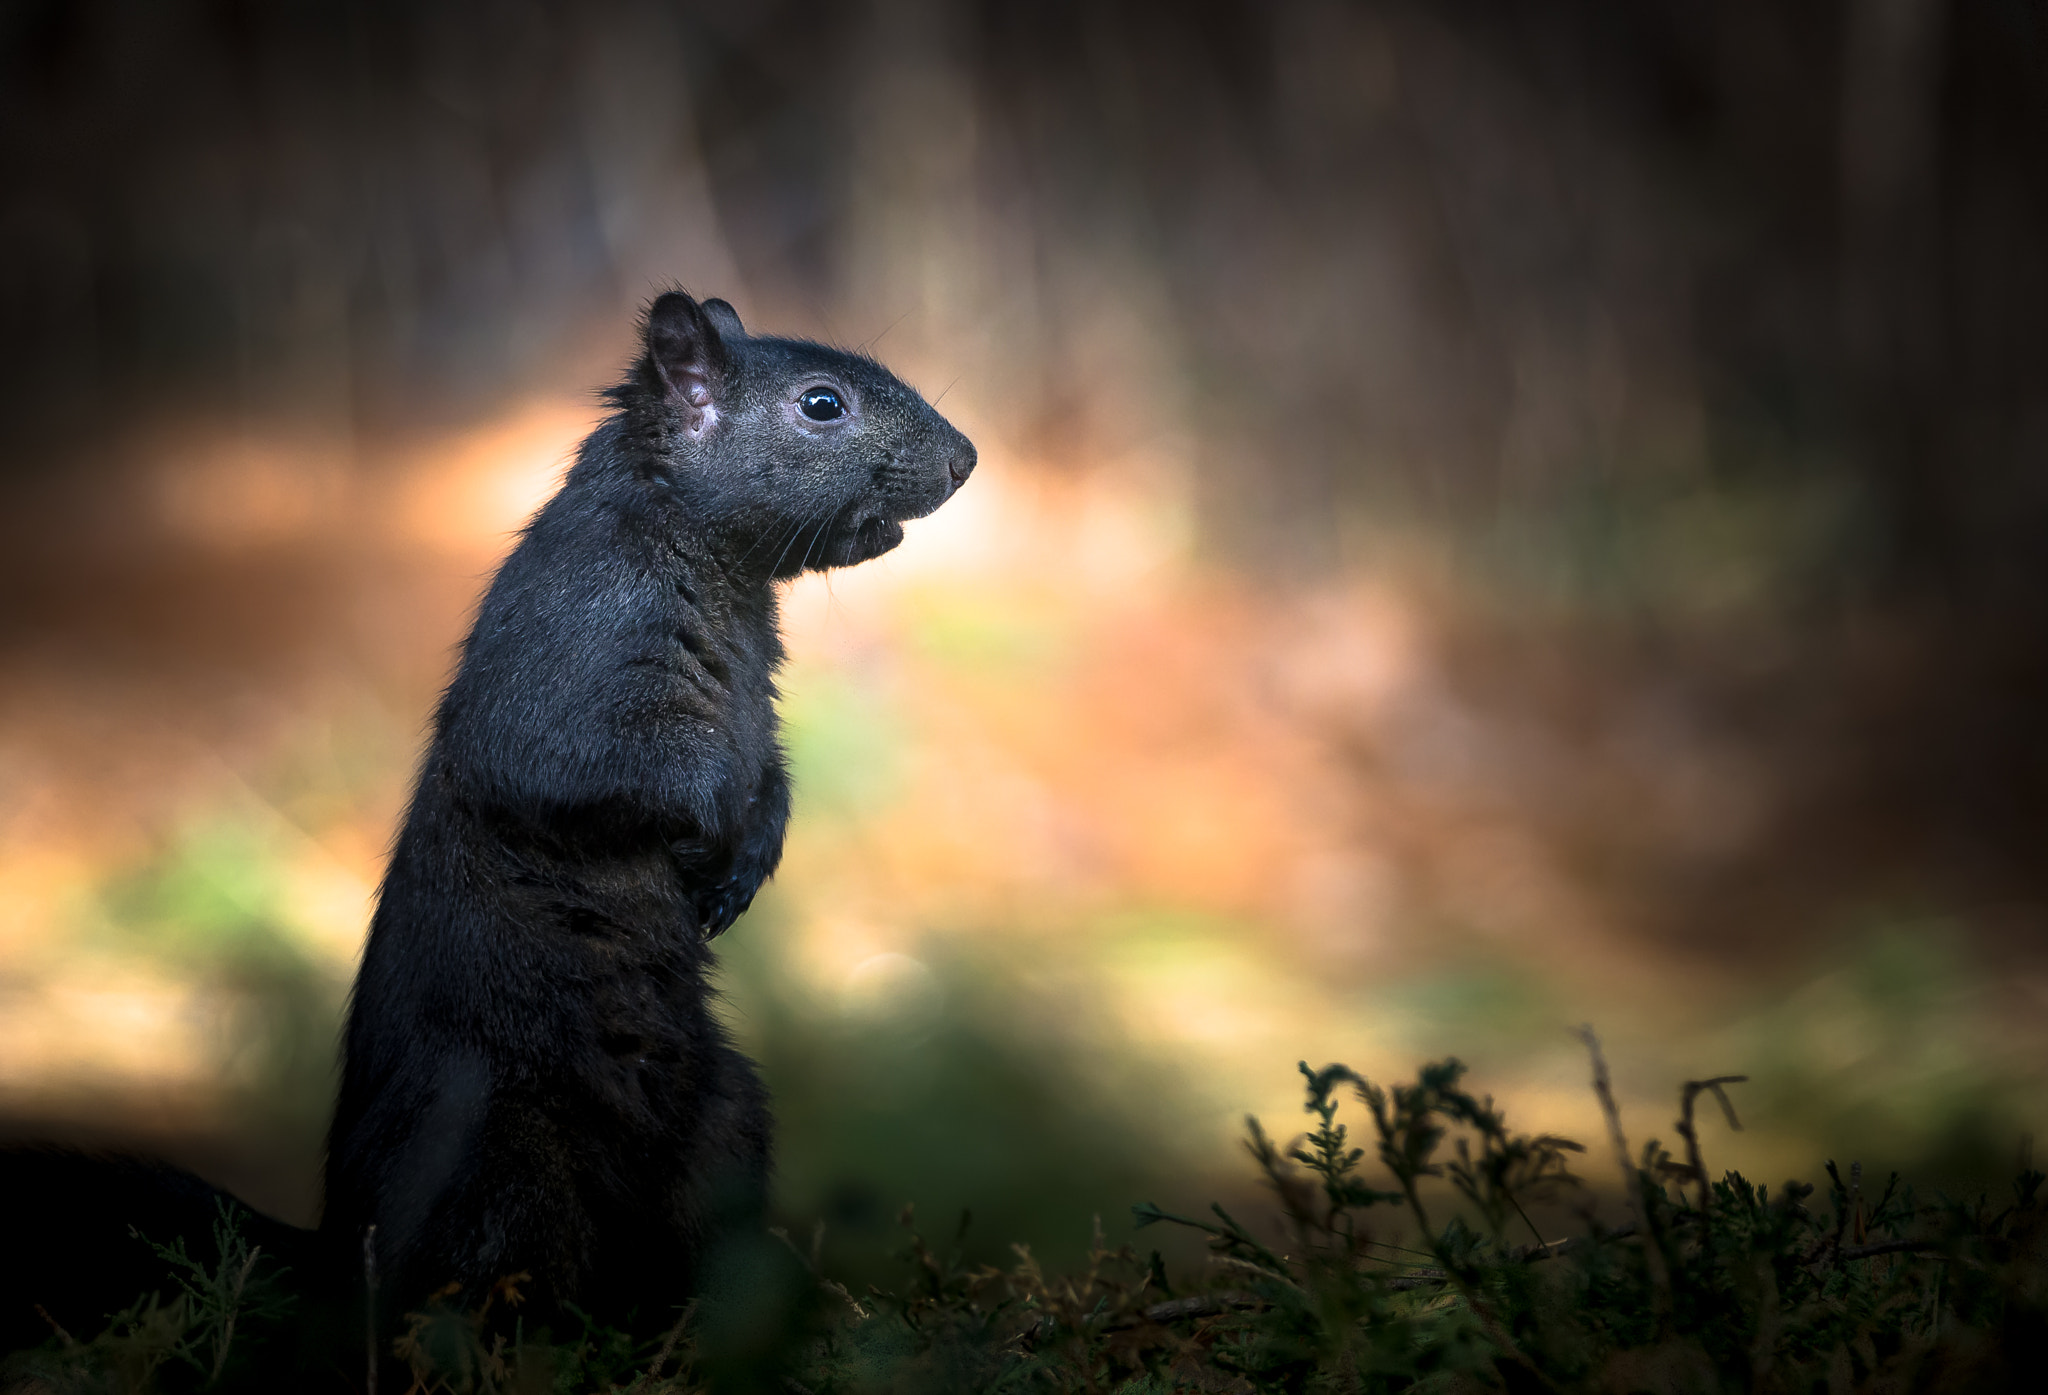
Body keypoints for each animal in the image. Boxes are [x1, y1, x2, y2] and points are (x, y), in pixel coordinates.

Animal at [2, 297, 974, 1360]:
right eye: (821, 404)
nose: (965, 457)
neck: (710, 565)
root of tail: (339, 1252)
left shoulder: (758, 706)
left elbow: (772, 776)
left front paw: (748, 861)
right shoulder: (571, 663)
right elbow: (618, 768)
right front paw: (711, 833)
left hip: (723, 1126)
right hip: (502, 1166)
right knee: (471, 1288)